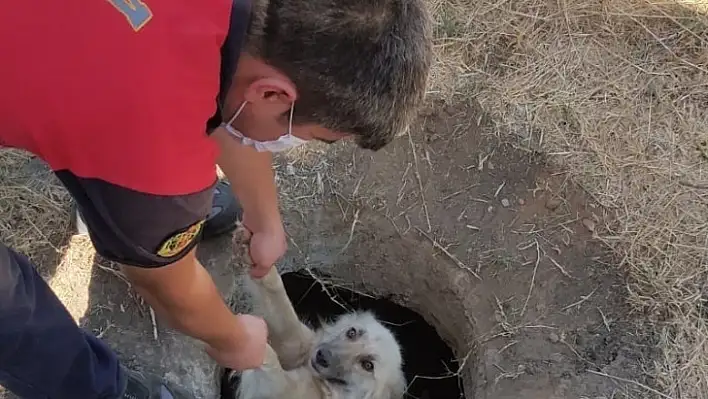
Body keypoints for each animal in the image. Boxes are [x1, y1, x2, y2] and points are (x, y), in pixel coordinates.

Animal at [224, 264, 406, 398]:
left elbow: (277, 375)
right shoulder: (294, 344)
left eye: (367, 365)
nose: (321, 355)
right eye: (352, 333)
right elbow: (281, 302)